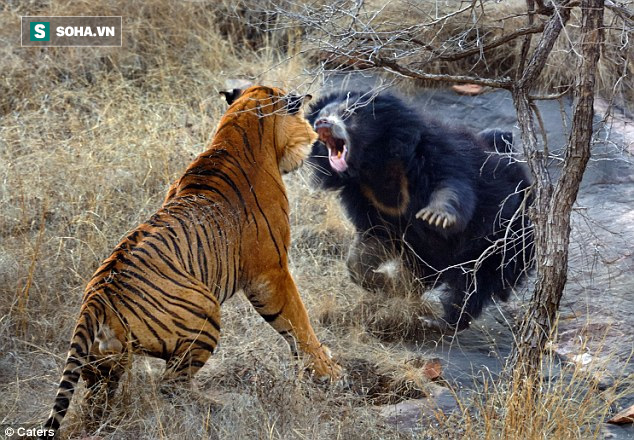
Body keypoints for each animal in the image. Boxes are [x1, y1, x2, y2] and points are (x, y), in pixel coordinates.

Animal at [42, 85, 340, 436]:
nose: (314, 136)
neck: (238, 129)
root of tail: (95, 299)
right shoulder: (270, 271)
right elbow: (297, 321)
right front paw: (328, 371)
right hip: (205, 311)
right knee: (170, 384)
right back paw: (222, 406)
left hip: (103, 363)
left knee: (99, 398)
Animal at [306, 88, 532, 330]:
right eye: (322, 115)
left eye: (347, 113)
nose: (322, 123)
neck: (373, 164)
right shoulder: (365, 197)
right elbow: (371, 242)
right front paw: (386, 283)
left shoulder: (435, 154)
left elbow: (452, 187)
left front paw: (436, 216)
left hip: (503, 240)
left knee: (474, 283)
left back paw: (441, 321)